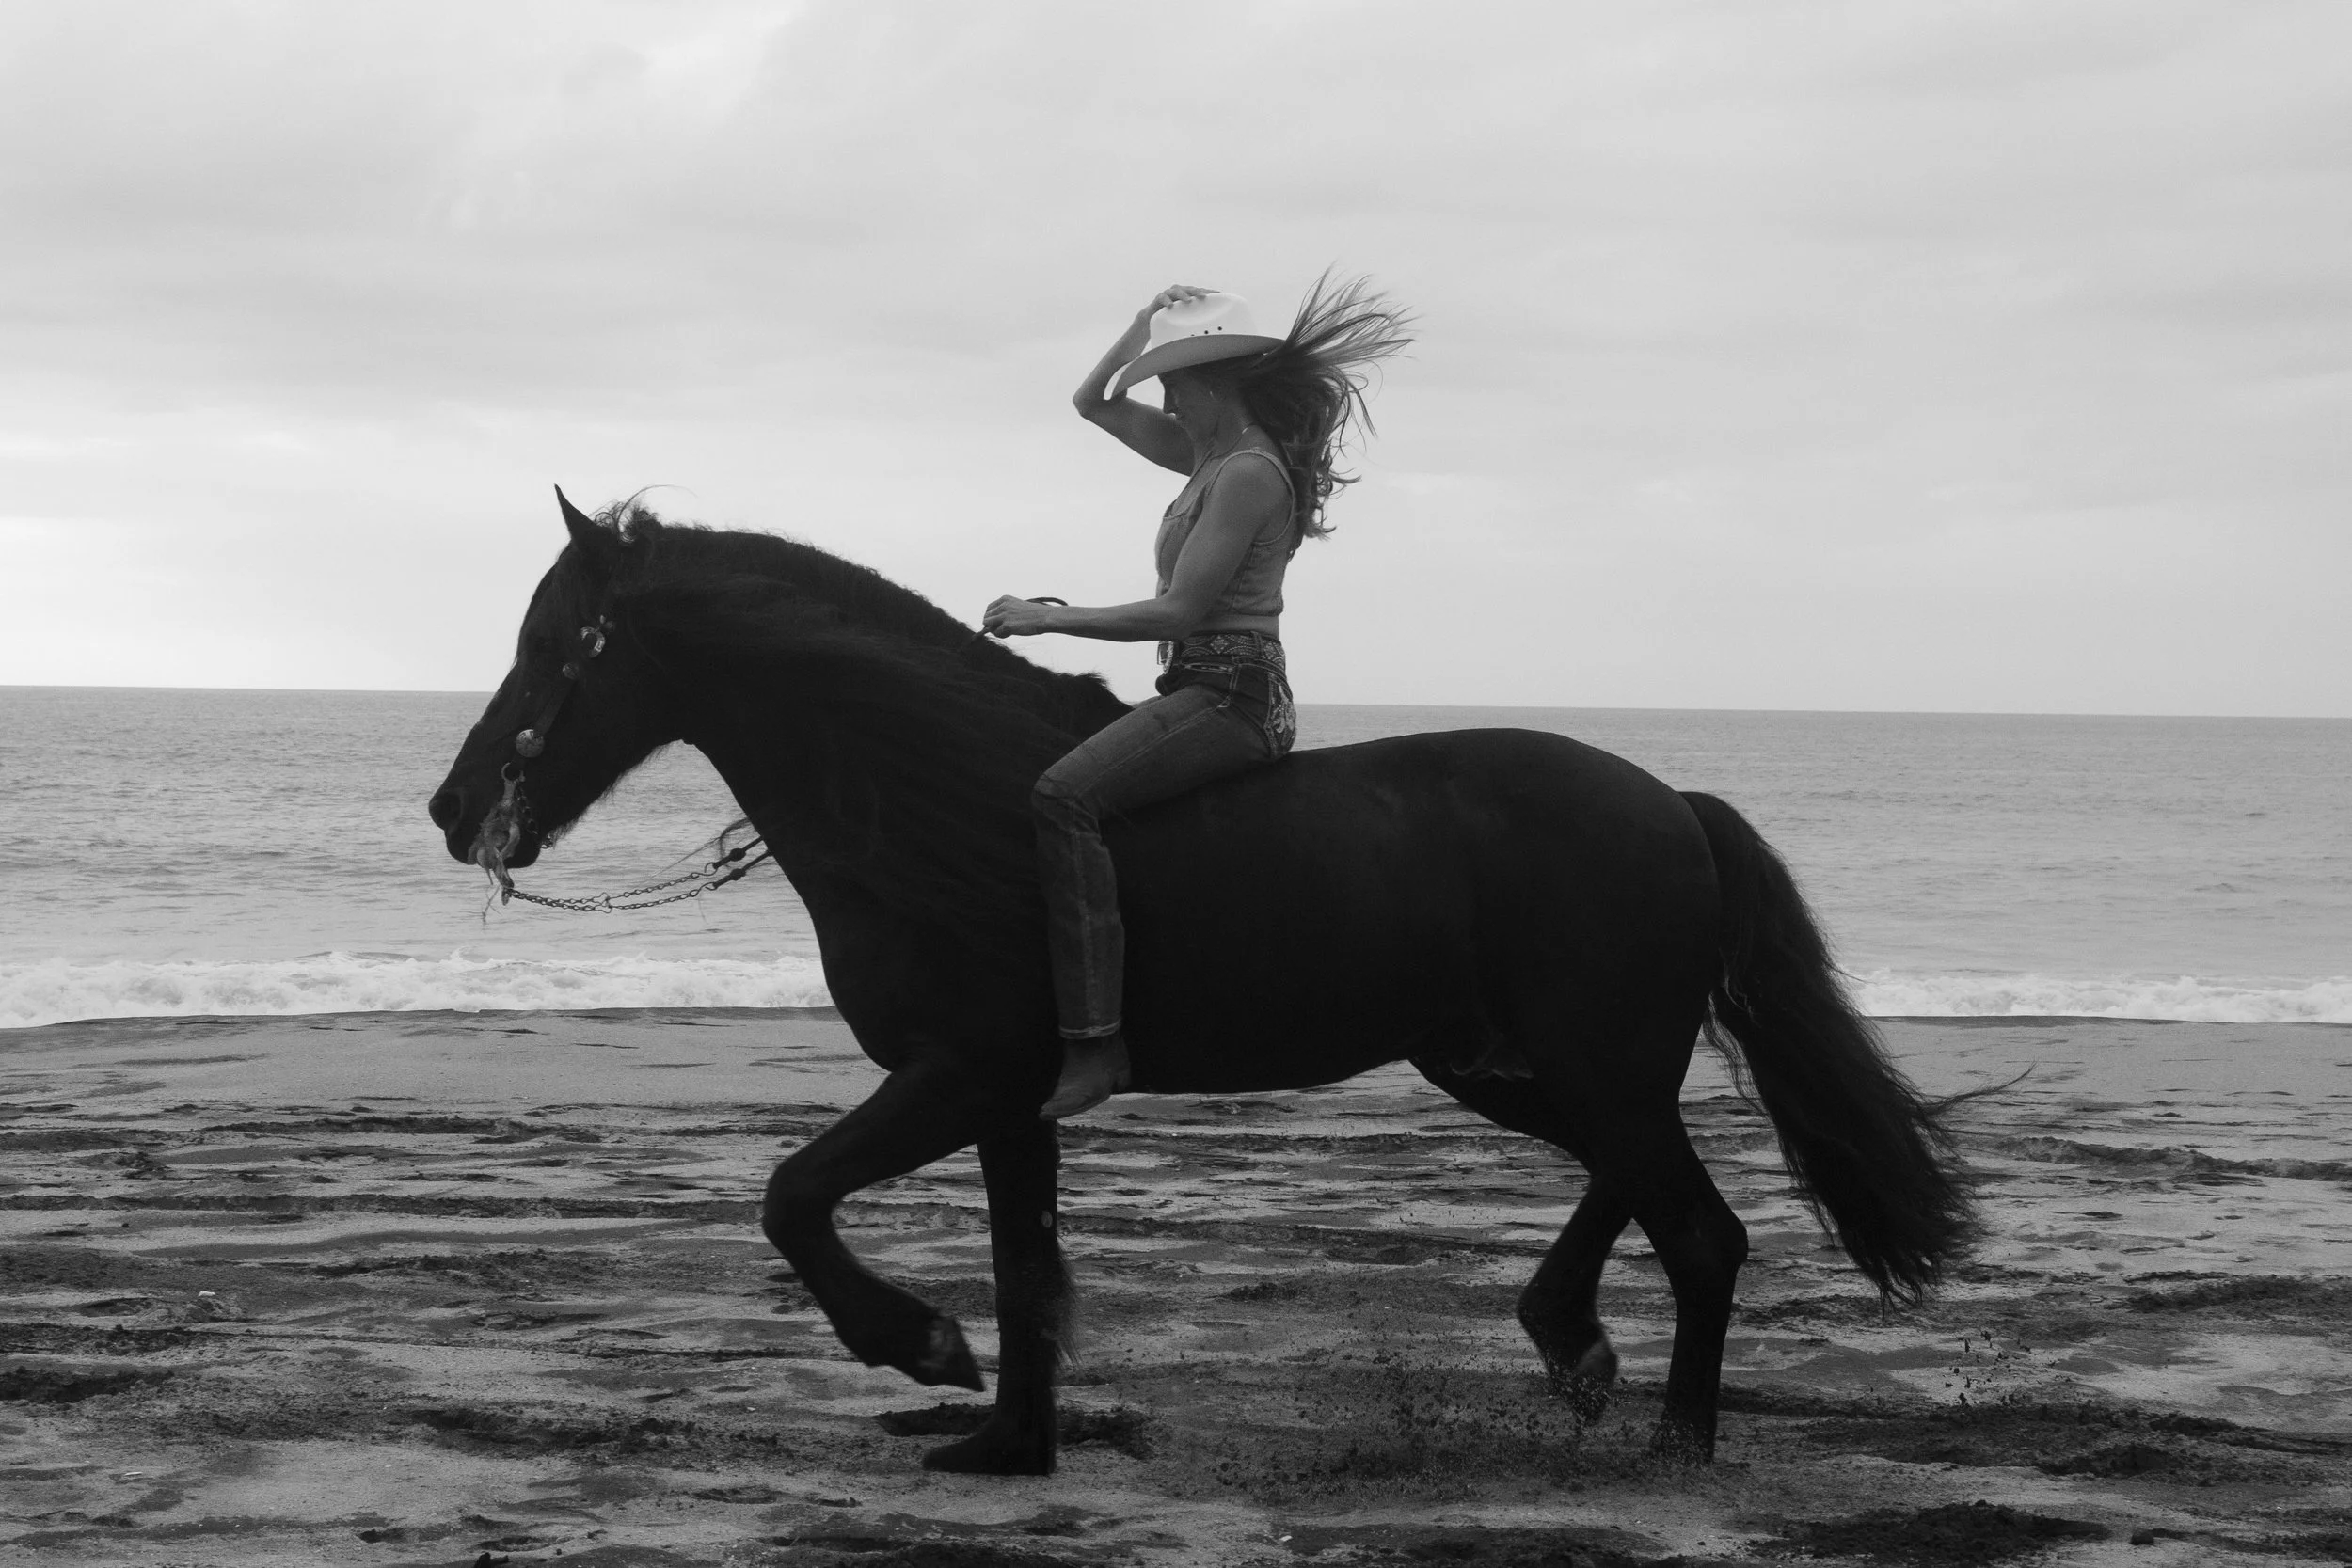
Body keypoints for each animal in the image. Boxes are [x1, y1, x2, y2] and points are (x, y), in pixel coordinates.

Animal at [427, 490, 1975, 1476]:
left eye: (551, 645)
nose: (451, 807)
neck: (935, 799)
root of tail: (1672, 803)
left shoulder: (955, 1074)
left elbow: (793, 1194)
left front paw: (916, 1343)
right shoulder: (1011, 1104)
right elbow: (1025, 1267)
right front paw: (1008, 1442)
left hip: (1585, 1063)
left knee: (1701, 1230)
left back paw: (1672, 1437)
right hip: (1505, 1062)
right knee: (1641, 1188)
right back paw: (1572, 1342)